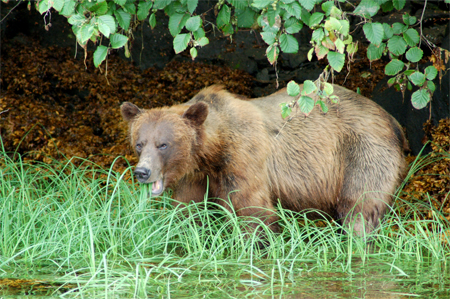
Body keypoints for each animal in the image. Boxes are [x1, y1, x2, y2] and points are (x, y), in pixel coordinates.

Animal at [121, 85, 410, 239]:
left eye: (163, 144)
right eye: (140, 143)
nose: (142, 172)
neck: (211, 152)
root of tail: (392, 120)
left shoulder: (243, 158)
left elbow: (253, 211)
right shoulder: (196, 176)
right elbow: (187, 213)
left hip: (361, 153)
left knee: (361, 206)